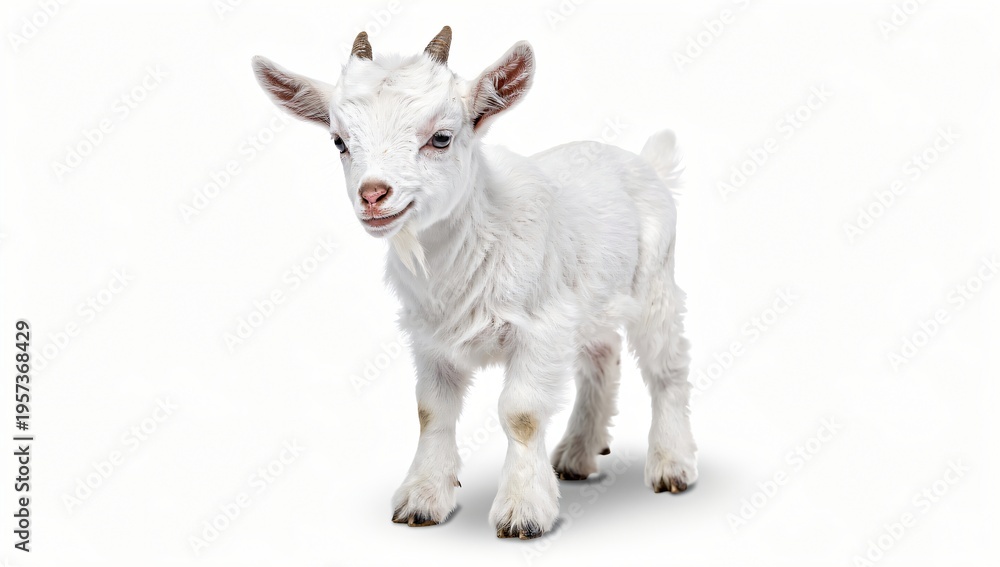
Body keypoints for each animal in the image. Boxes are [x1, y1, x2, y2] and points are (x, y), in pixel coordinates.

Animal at [252, 26, 697, 539]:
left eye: (441, 138)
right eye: (339, 142)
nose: (373, 194)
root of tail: (644, 163)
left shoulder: (541, 329)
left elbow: (521, 414)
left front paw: (523, 511)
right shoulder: (429, 338)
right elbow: (431, 410)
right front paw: (422, 499)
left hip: (656, 282)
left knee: (666, 367)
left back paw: (671, 464)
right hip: (592, 303)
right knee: (602, 357)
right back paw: (577, 454)